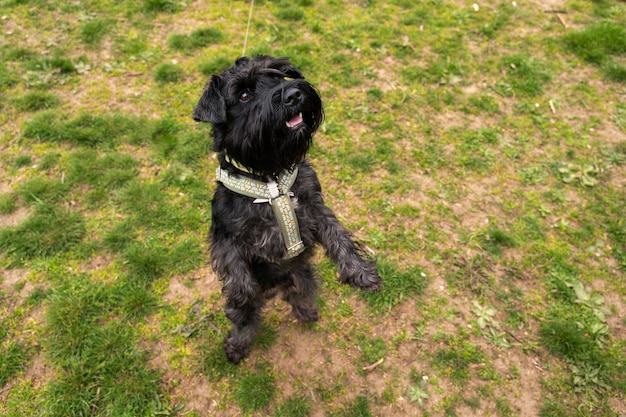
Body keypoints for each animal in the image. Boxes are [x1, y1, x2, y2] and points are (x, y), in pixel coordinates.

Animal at [193, 56, 378, 364]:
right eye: (244, 95)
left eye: (279, 76)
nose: (293, 95)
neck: (271, 179)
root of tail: (276, 290)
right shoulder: (224, 236)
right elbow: (239, 281)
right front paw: (240, 299)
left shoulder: (314, 209)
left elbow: (340, 238)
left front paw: (361, 272)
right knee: (247, 318)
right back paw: (238, 342)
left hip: (302, 278)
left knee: (299, 294)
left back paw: (306, 311)